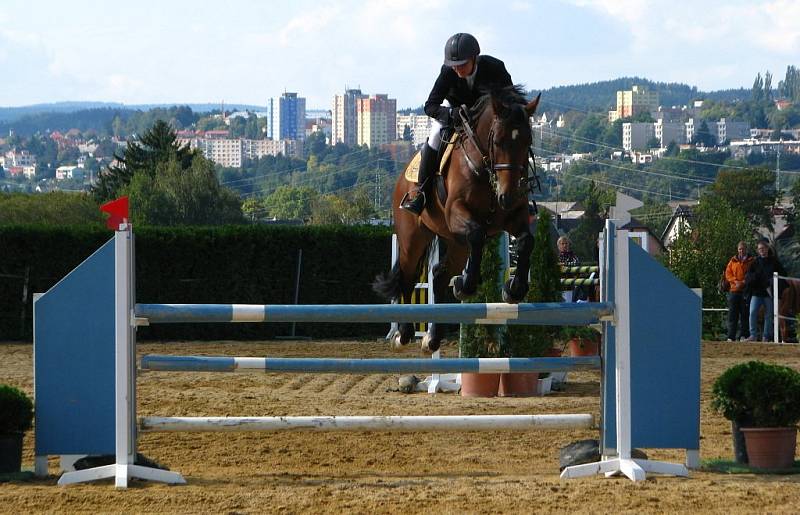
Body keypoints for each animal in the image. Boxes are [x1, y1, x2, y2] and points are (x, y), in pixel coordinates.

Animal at [374, 85, 536, 350]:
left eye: (528, 141)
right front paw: (466, 285)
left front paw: (514, 289)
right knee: (408, 276)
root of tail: (401, 180)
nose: (509, 196)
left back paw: (432, 337)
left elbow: (526, 241)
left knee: (439, 275)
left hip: (456, 242)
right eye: (498, 141)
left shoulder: (514, 216)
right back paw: (405, 333)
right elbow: (478, 234)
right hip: (413, 237)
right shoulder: (456, 213)